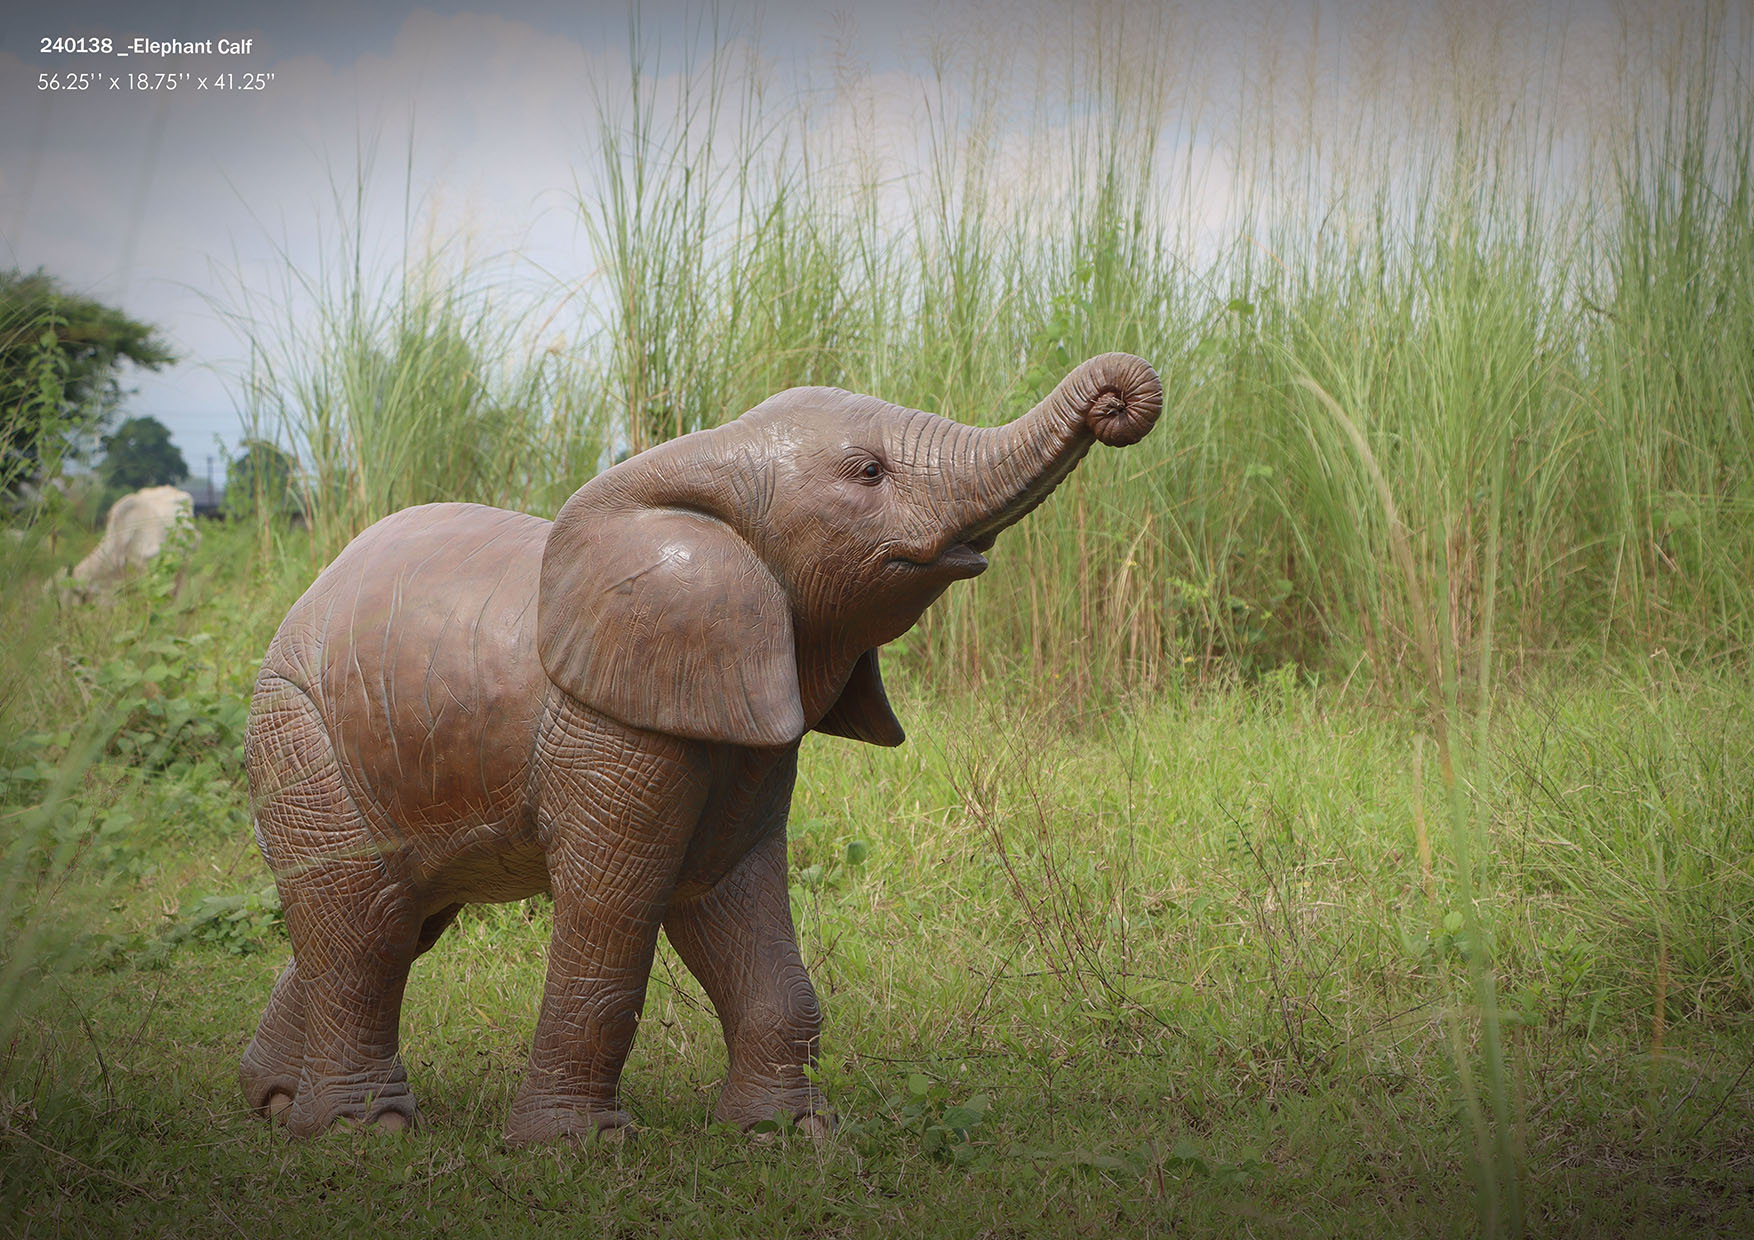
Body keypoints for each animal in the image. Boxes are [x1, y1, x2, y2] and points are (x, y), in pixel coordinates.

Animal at [239, 352, 1162, 1143]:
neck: (712, 454)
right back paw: (359, 1133)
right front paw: (578, 1150)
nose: (1116, 404)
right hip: (298, 731)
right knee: (367, 924)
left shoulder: (742, 727)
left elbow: (727, 897)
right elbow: (617, 906)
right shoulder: (612, 728)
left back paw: (274, 1106)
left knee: (402, 920)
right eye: (868, 473)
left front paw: (788, 1137)